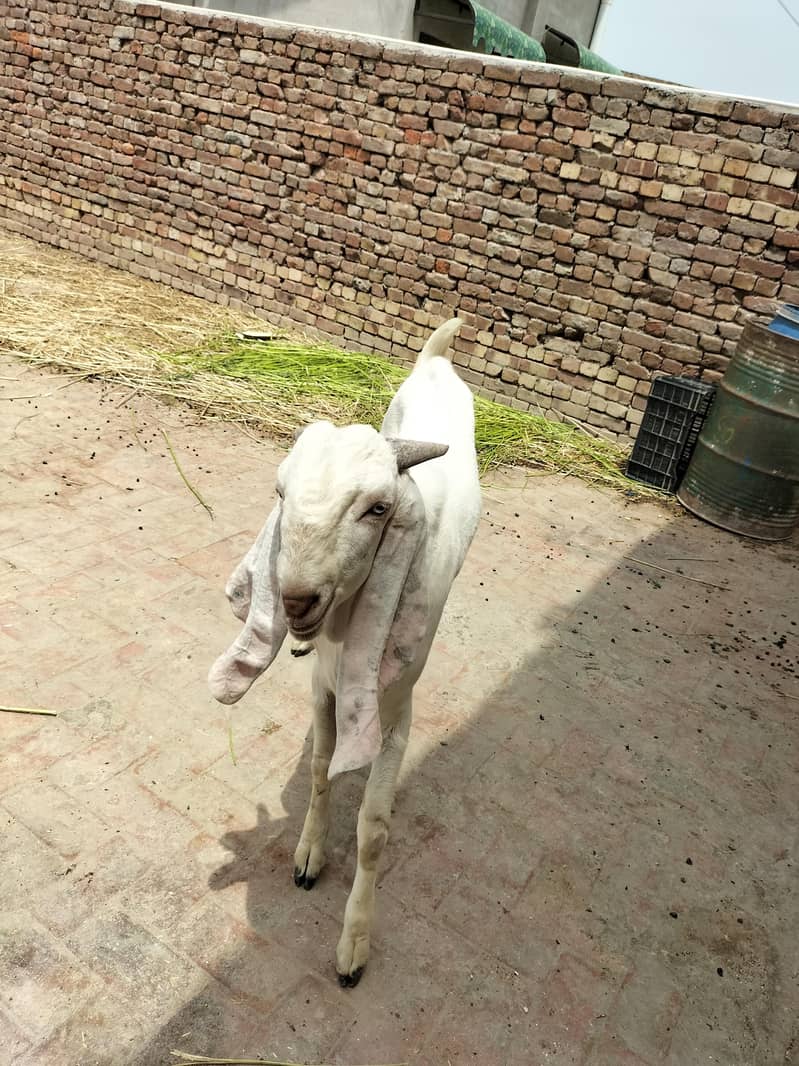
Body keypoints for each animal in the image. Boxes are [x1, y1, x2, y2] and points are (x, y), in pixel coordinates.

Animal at [208, 317, 481, 986]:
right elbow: (317, 767)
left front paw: (354, 941)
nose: (295, 599)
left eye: (378, 508)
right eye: (279, 492)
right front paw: (308, 853)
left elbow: (374, 831)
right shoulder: (323, 691)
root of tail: (438, 358)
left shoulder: (395, 715)